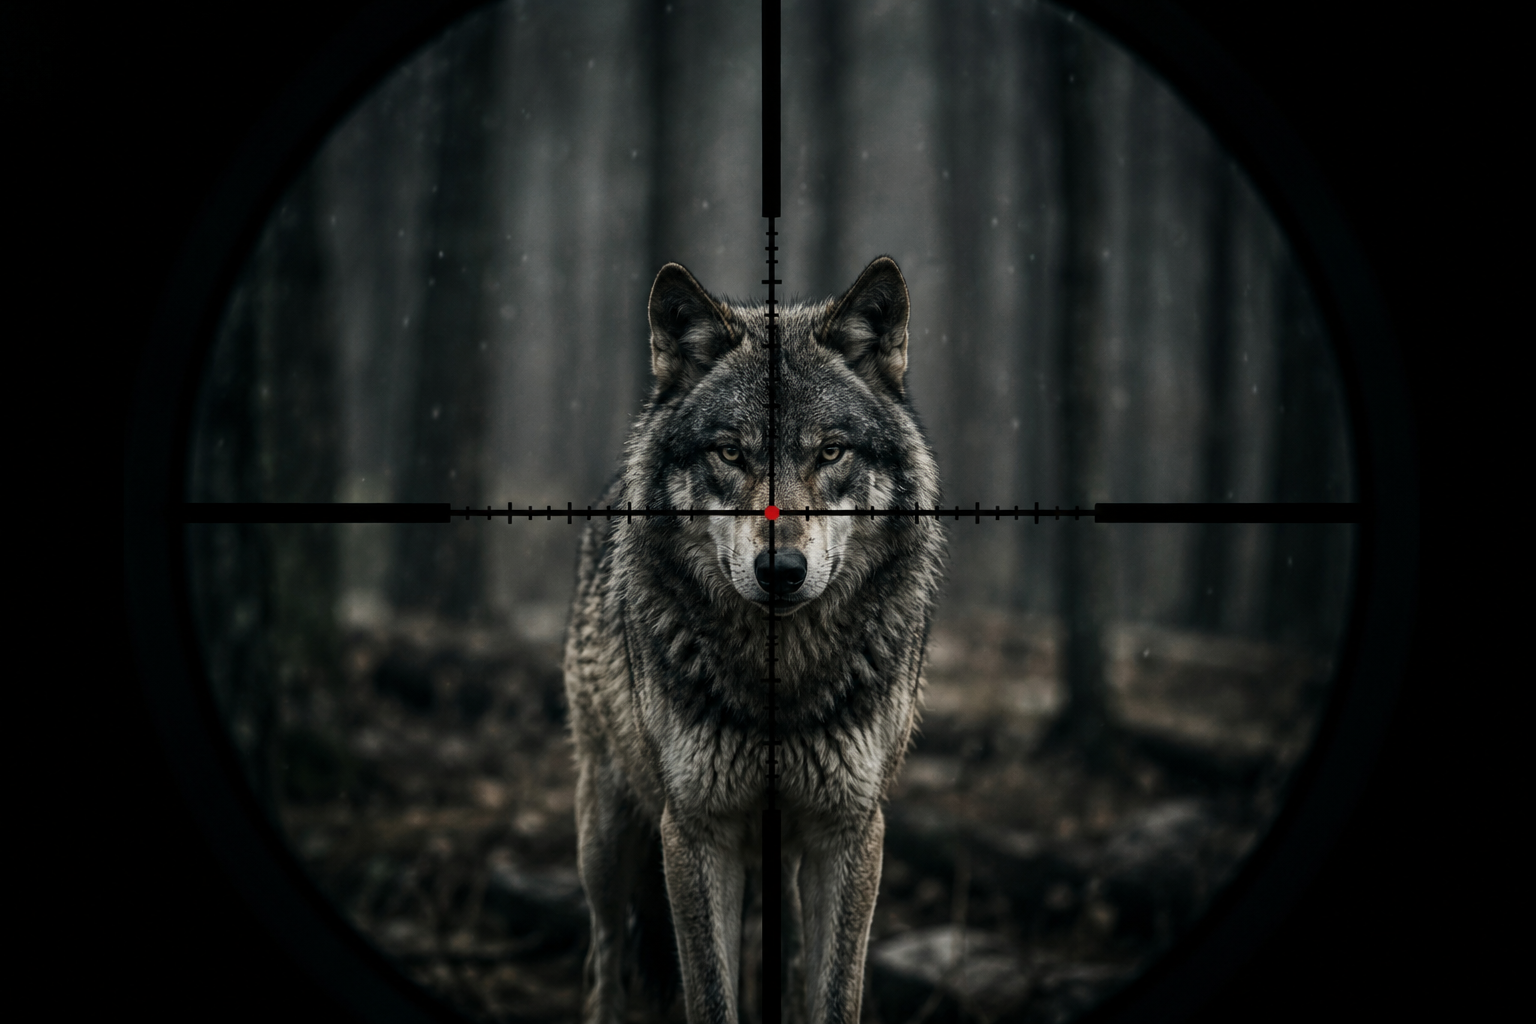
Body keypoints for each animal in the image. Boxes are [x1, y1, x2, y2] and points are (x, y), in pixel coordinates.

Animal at [563, 255, 944, 1024]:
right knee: (605, 959)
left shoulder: (847, 832)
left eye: (830, 451)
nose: (781, 570)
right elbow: (709, 994)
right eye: (731, 453)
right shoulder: (695, 831)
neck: (781, 679)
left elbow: (835, 995)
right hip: (607, 834)